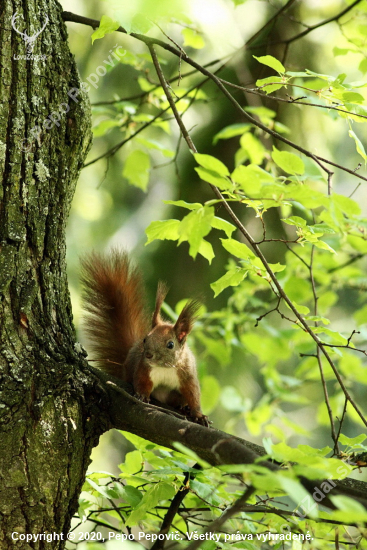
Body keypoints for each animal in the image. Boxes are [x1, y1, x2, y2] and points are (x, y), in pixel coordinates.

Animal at [81, 252, 210, 430]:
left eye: (170, 344)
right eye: (145, 339)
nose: (148, 355)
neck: (165, 368)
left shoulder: (187, 374)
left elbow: (193, 394)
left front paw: (199, 415)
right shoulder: (143, 368)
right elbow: (142, 381)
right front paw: (142, 396)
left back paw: (183, 407)